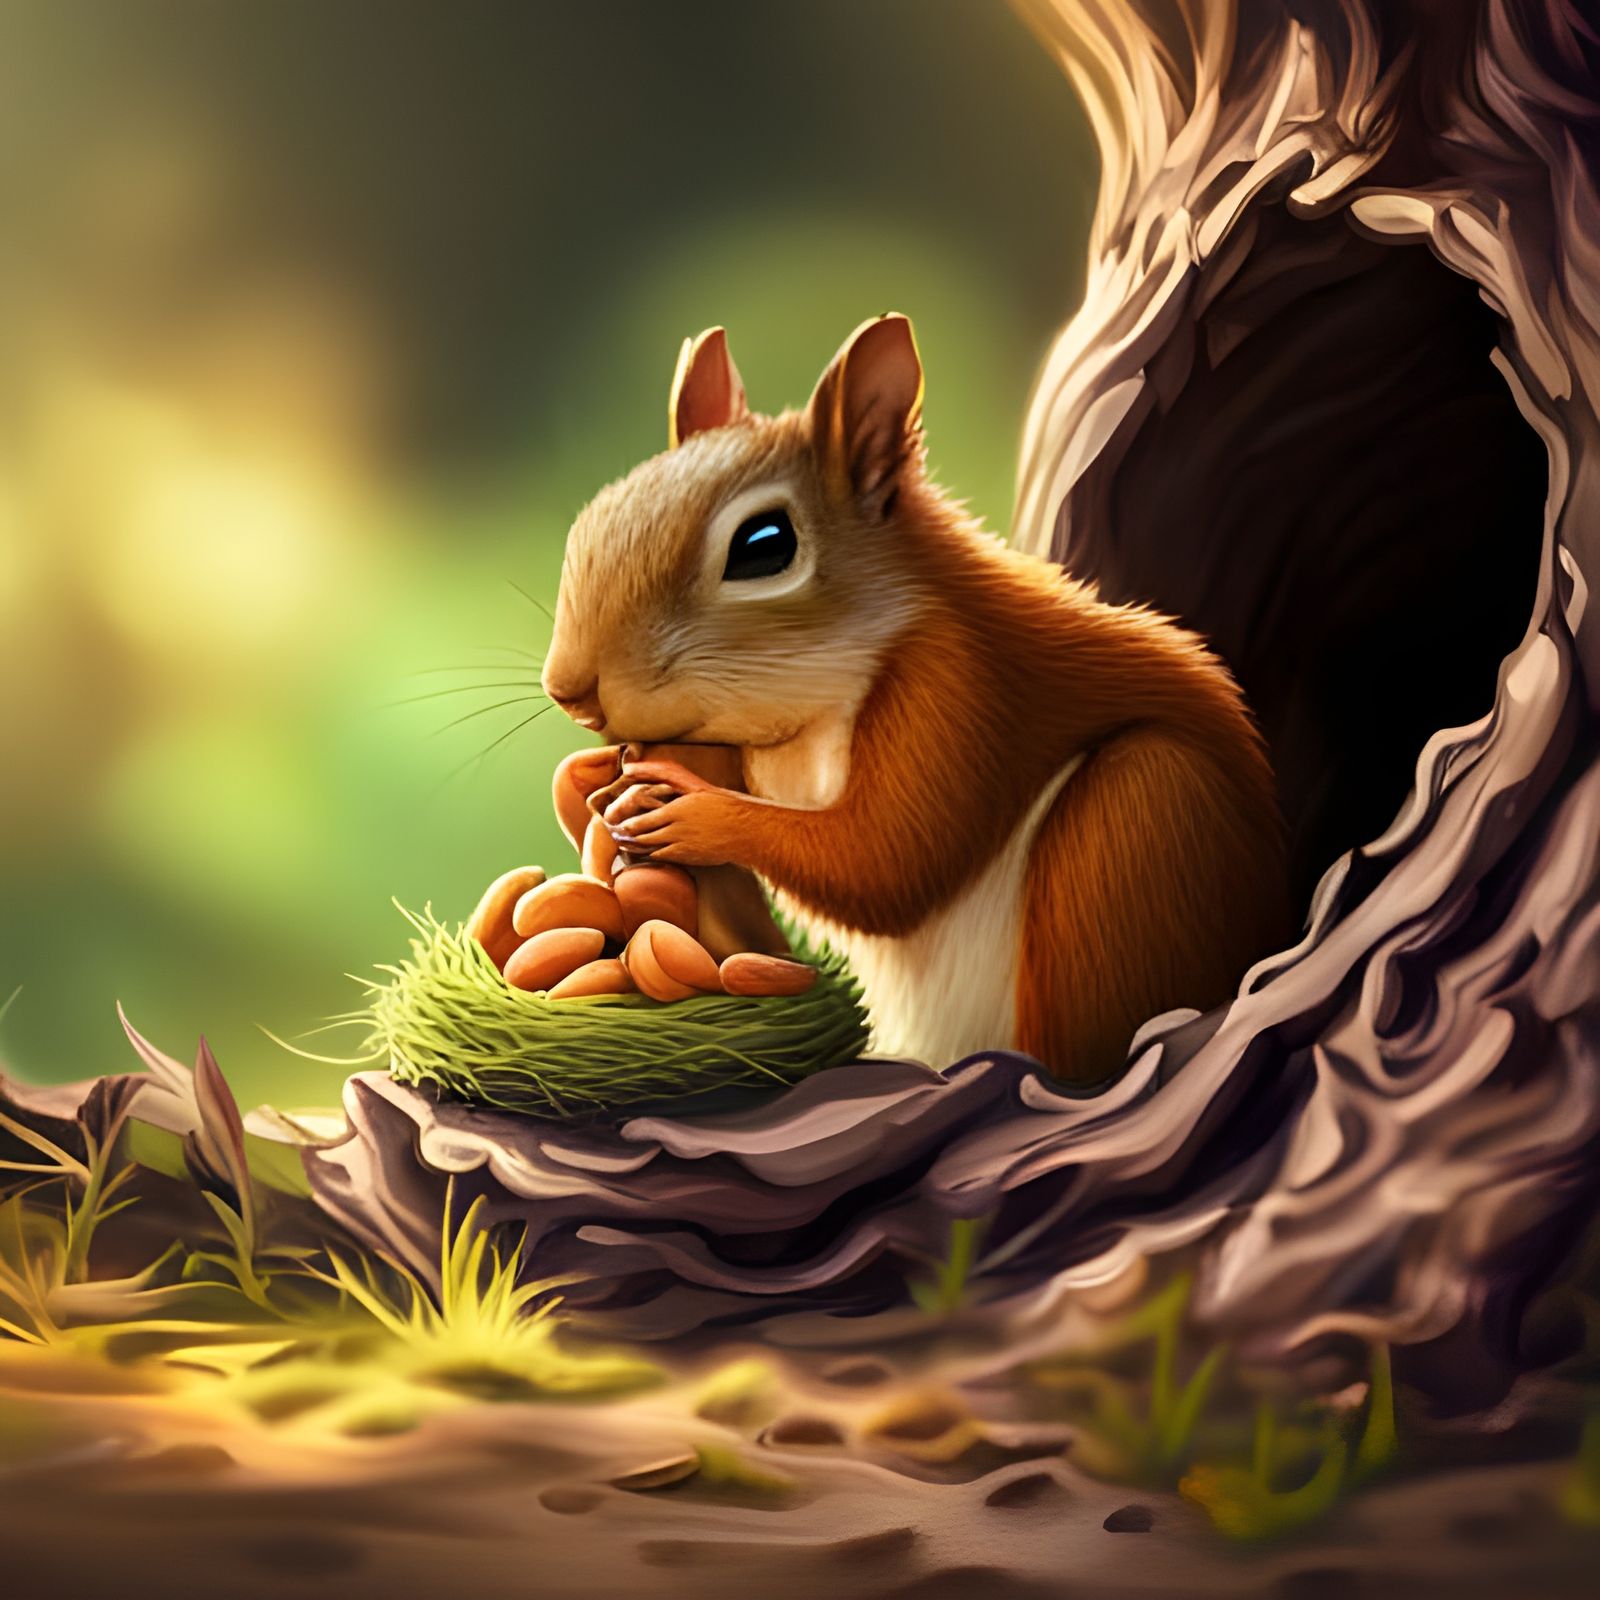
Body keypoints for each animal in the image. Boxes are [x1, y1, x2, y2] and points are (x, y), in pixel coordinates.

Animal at [541, 317, 1291, 1081]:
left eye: (763, 546)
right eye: (595, 517)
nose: (570, 690)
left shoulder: (958, 688)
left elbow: (888, 862)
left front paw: (695, 814)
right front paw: (581, 782)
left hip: (1141, 815)